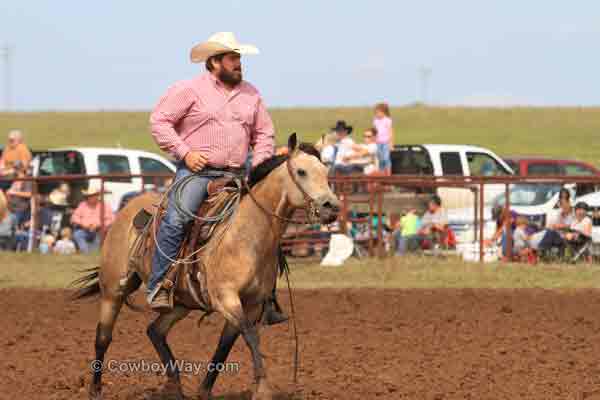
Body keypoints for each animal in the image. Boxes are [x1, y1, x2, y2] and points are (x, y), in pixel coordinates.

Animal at [70, 135, 340, 400]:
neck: (248, 235)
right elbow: (250, 336)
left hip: (181, 302)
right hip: (113, 289)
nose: (332, 206)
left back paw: (174, 387)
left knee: (155, 330)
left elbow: (226, 345)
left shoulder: (252, 304)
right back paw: (95, 389)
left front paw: (204, 390)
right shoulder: (226, 298)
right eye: (301, 171)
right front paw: (263, 390)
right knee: (103, 336)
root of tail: (128, 208)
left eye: (326, 171)